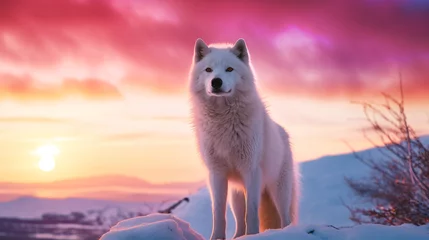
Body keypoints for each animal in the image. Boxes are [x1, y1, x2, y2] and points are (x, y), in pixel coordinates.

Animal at [187, 38, 298, 239]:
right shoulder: (216, 174)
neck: (223, 121)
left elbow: (252, 212)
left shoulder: (251, 171)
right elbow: (218, 212)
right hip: (236, 194)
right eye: (208, 70)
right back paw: (238, 236)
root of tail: (283, 132)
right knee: (239, 221)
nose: (216, 81)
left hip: (279, 191)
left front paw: (253, 234)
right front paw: (216, 237)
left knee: (285, 218)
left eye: (229, 69)